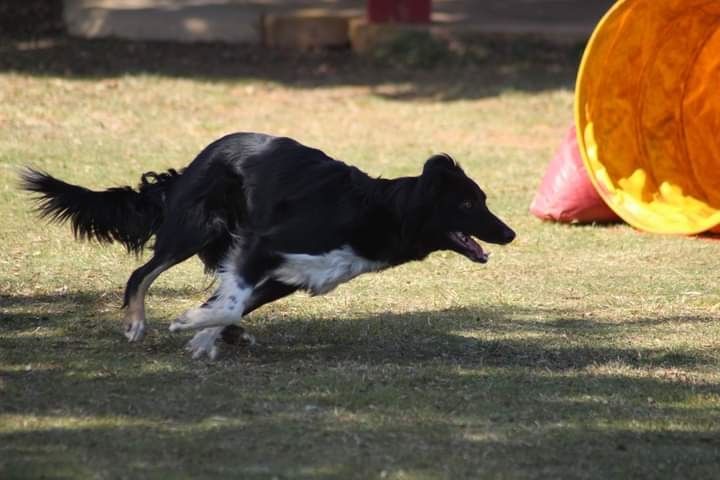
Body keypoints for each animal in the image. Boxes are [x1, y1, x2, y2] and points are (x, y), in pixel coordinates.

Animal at [22, 133, 516, 358]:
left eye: (482, 199)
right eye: (469, 203)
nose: (510, 233)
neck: (384, 210)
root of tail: (195, 161)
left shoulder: (287, 274)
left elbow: (231, 305)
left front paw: (207, 336)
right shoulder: (263, 246)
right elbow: (228, 303)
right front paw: (189, 325)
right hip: (195, 230)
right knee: (140, 274)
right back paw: (136, 322)